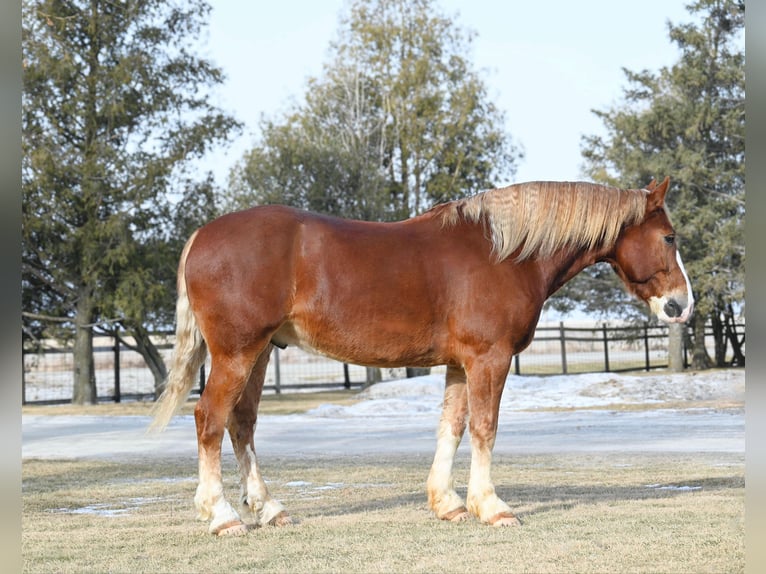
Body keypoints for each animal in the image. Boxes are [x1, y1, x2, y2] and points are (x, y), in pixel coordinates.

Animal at [150, 178, 696, 536]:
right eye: (669, 237)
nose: (682, 305)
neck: (503, 253)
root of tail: (201, 236)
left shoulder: (458, 364)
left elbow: (451, 426)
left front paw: (448, 503)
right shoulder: (488, 359)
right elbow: (484, 428)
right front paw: (492, 507)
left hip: (261, 353)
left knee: (241, 423)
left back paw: (268, 509)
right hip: (237, 353)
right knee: (209, 419)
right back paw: (223, 516)